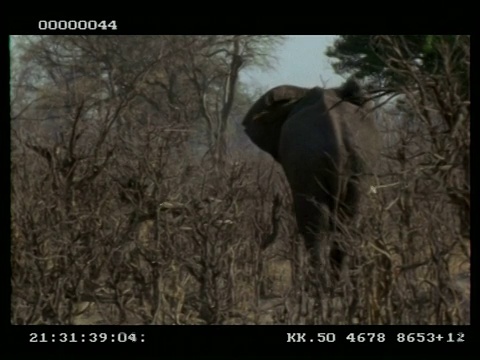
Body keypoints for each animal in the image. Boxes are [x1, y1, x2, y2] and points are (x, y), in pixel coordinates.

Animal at [242, 79, 380, 286]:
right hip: (357, 163)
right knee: (348, 221)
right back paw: (337, 285)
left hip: (312, 162)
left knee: (315, 225)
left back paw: (320, 284)